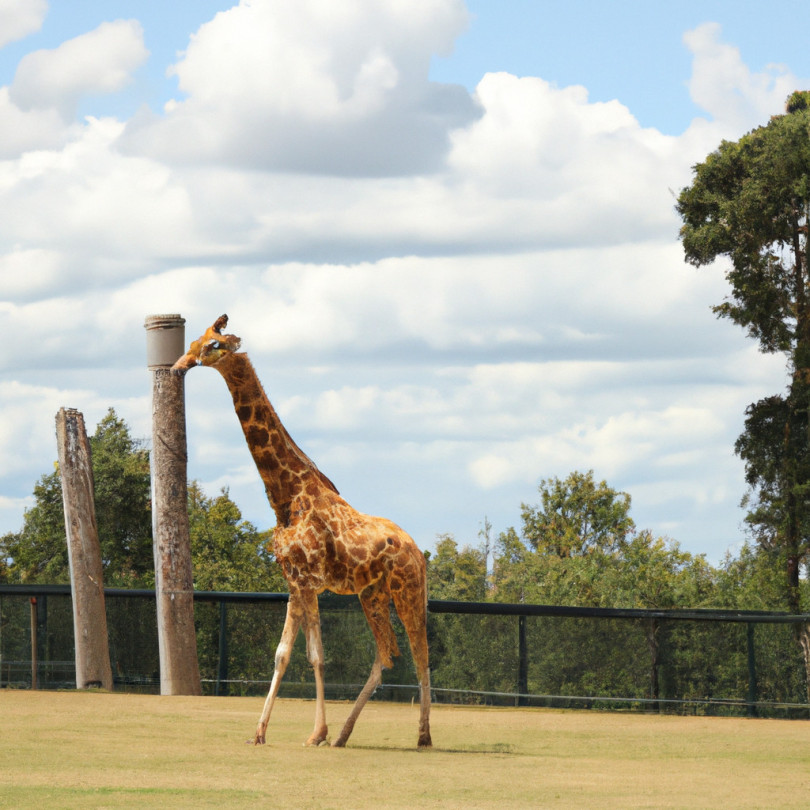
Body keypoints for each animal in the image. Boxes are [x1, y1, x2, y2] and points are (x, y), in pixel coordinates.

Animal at [174, 314, 432, 744]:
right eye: (192, 341)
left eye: (214, 345)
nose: (179, 366)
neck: (285, 497)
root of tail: (419, 553)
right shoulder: (293, 581)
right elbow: (282, 655)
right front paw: (260, 733)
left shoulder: (309, 580)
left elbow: (316, 656)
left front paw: (316, 733)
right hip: (372, 594)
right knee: (387, 653)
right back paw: (345, 735)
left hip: (406, 591)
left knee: (419, 652)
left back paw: (423, 736)